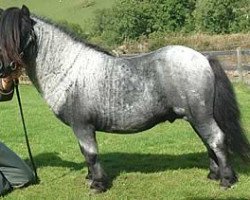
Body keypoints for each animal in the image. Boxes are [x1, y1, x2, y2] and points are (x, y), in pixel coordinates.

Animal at [0, 4, 250, 192]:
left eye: (21, 33)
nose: (5, 69)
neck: (68, 68)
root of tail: (203, 58)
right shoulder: (81, 128)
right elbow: (86, 154)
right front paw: (90, 178)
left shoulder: (82, 126)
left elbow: (90, 153)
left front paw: (98, 185)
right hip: (195, 117)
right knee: (209, 143)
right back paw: (213, 175)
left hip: (200, 116)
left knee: (216, 140)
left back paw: (226, 180)